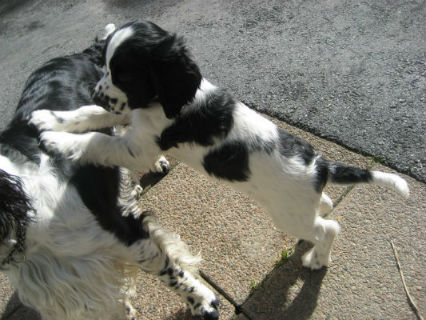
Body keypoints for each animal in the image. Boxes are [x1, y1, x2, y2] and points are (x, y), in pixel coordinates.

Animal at [30, 21, 410, 272]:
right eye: (105, 67)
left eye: (124, 75)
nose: (96, 91)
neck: (163, 100)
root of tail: (321, 165)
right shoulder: (130, 116)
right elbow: (91, 115)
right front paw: (46, 118)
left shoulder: (140, 147)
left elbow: (98, 140)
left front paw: (56, 140)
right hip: (301, 206)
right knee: (325, 206)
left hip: (288, 215)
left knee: (329, 228)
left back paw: (317, 259)